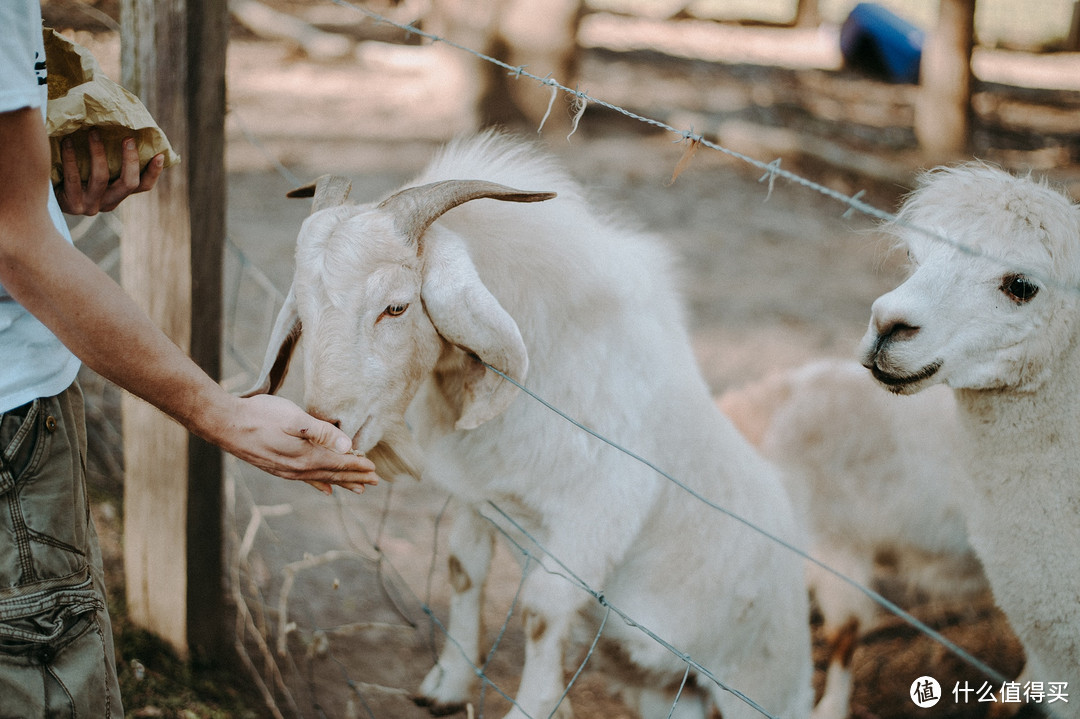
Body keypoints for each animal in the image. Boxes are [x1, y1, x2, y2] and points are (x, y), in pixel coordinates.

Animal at [250, 130, 812, 716]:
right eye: (305, 308)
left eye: (397, 307)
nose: (325, 425)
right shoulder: (482, 494)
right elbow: (464, 569)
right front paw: (448, 685)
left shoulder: (594, 514)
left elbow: (543, 611)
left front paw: (530, 706)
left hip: (757, 687)